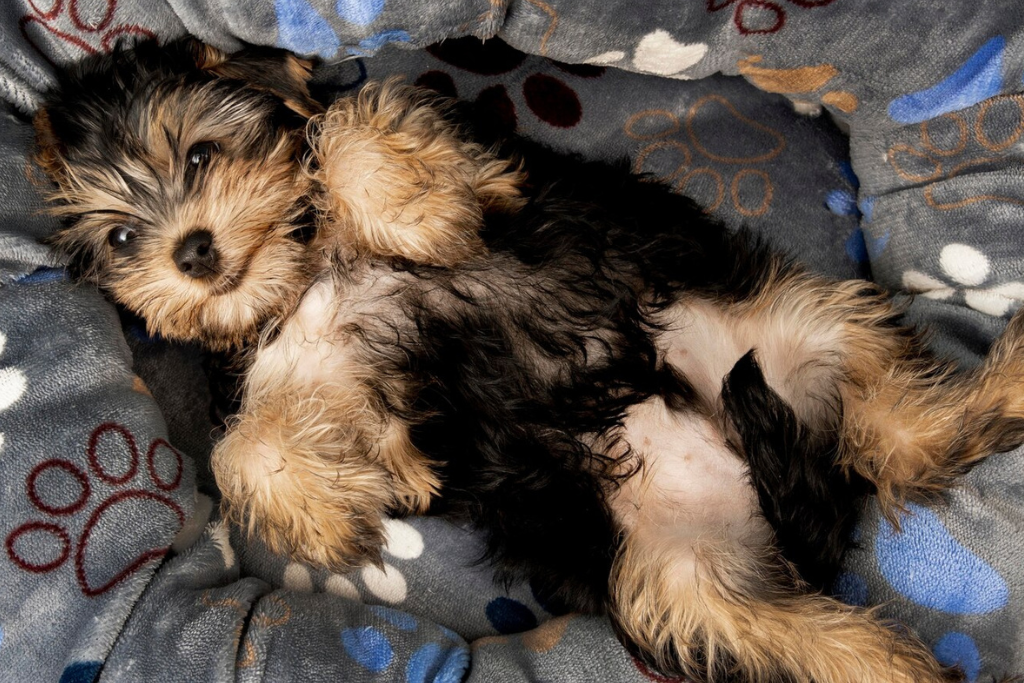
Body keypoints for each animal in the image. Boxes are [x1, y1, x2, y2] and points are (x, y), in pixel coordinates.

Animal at [32, 38, 1024, 683]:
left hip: (793, 327)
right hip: (686, 579)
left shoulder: (474, 158)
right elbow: (246, 442)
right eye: (121, 238)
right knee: (837, 595)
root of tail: (748, 473)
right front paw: (332, 504)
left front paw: (415, 216)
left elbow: (348, 126)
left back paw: (1006, 373)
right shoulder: (289, 363)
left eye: (201, 154)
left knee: (902, 425)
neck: (305, 270)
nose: (193, 253)